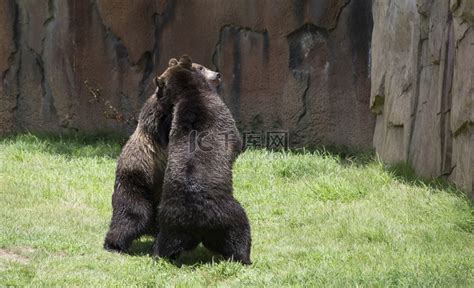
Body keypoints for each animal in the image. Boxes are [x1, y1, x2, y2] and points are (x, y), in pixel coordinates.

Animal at [103, 58, 222, 252]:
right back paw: (114, 244)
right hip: (138, 183)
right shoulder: (158, 122)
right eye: (201, 67)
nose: (217, 74)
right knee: (130, 215)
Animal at [154, 55, 254, 264]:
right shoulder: (220, 113)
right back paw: (245, 257)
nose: (218, 74)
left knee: (165, 243)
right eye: (202, 67)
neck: (188, 92)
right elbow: (236, 141)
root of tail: (197, 222)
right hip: (227, 215)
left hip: (170, 222)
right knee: (240, 232)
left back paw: (160, 255)